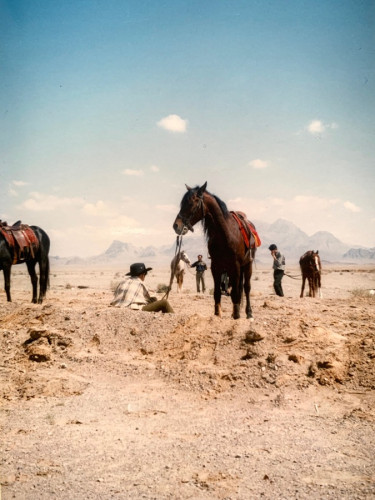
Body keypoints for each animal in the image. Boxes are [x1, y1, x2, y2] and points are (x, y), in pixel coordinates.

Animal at [173, 184, 262, 320]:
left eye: (192, 203)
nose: (176, 226)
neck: (225, 233)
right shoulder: (215, 265)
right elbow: (217, 291)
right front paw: (217, 313)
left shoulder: (235, 265)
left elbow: (236, 291)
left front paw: (237, 314)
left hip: (247, 265)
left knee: (246, 287)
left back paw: (248, 313)